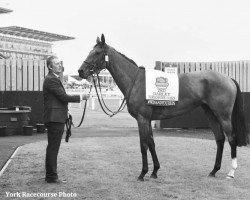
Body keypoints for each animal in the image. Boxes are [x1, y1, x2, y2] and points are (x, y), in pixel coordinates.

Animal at [77, 34, 248, 181]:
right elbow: (151, 143)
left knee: (231, 138)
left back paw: (231, 172)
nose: (81, 71)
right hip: (211, 114)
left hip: (223, 116)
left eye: (97, 52)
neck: (136, 81)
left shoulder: (142, 119)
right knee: (220, 139)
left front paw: (142, 173)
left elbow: (143, 145)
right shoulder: (148, 120)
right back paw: (213, 171)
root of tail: (228, 78)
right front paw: (154, 171)